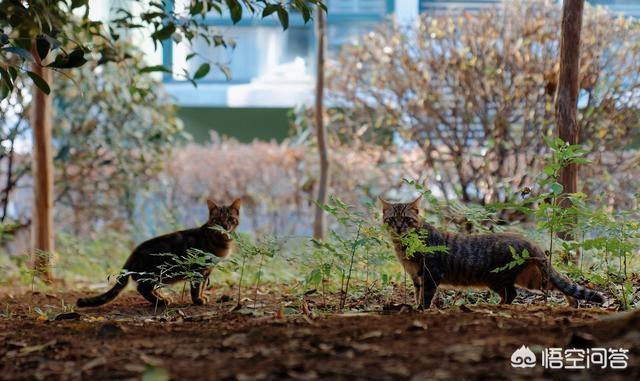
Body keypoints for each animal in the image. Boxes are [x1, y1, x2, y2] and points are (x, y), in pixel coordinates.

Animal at [76, 197, 241, 308]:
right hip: (156, 273)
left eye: (230, 219)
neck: (221, 243)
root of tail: (133, 252)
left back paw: (162, 297)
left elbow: (201, 286)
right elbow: (196, 287)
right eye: (217, 220)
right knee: (141, 288)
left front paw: (202, 296)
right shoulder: (197, 268)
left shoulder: (207, 270)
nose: (225, 226)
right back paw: (161, 301)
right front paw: (198, 300)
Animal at [382, 196, 604, 308]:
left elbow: (426, 297)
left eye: (407, 219)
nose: (399, 228)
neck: (404, 248)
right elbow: (417, 294)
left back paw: (497, 306)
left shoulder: (430, 273)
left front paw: (421, 310)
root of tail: (528, 240)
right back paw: (573, 304)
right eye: (392, 219)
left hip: (500, 277)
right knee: (560, 283)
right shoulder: (416, 276)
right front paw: (415, 307)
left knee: (513, 293)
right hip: (529, 277)